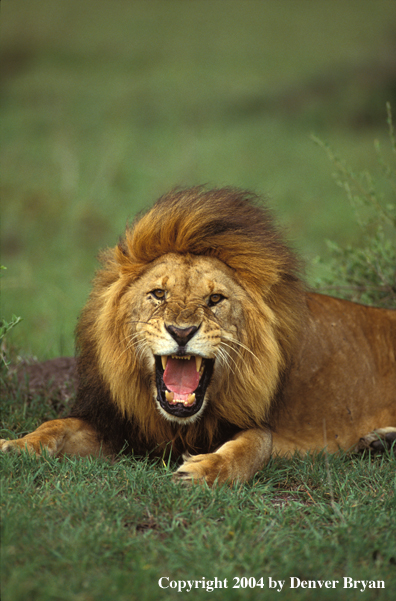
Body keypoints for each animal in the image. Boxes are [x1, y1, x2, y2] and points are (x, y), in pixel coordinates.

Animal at [0, 188, 396, 482]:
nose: (181, 331)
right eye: (159, 294)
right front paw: (17, 445)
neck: (176, 424)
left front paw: (206, 471)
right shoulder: (117, 427)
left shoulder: (251, 425)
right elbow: (56, 425)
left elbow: (257, 444)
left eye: (215, 299)